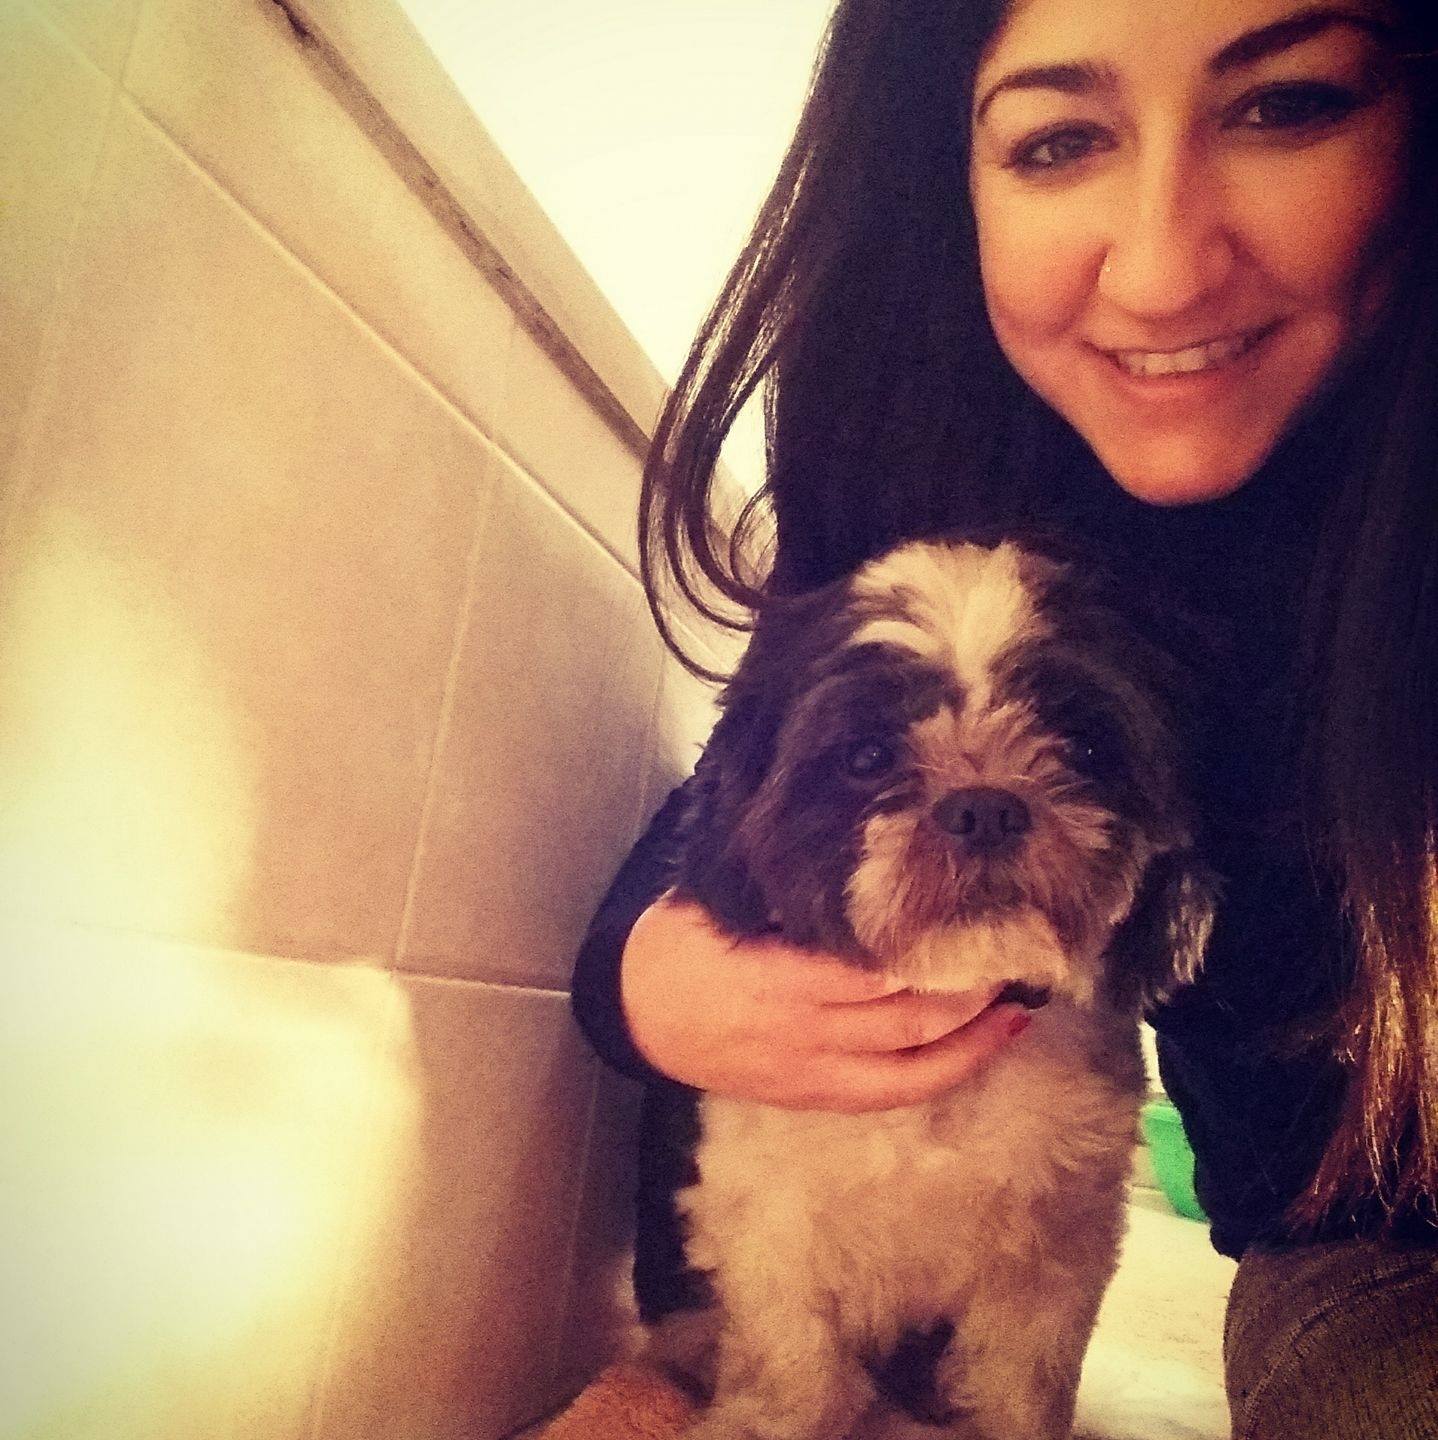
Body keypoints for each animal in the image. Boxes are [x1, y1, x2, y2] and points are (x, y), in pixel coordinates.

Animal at [635, 534, 1217, 1440]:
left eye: (1083, 749)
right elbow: (791, 1366)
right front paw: (769, 1420)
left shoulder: (1052, 1254)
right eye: (868, 756)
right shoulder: (768, 1229)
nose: (984, 805)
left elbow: (1020, 1384)